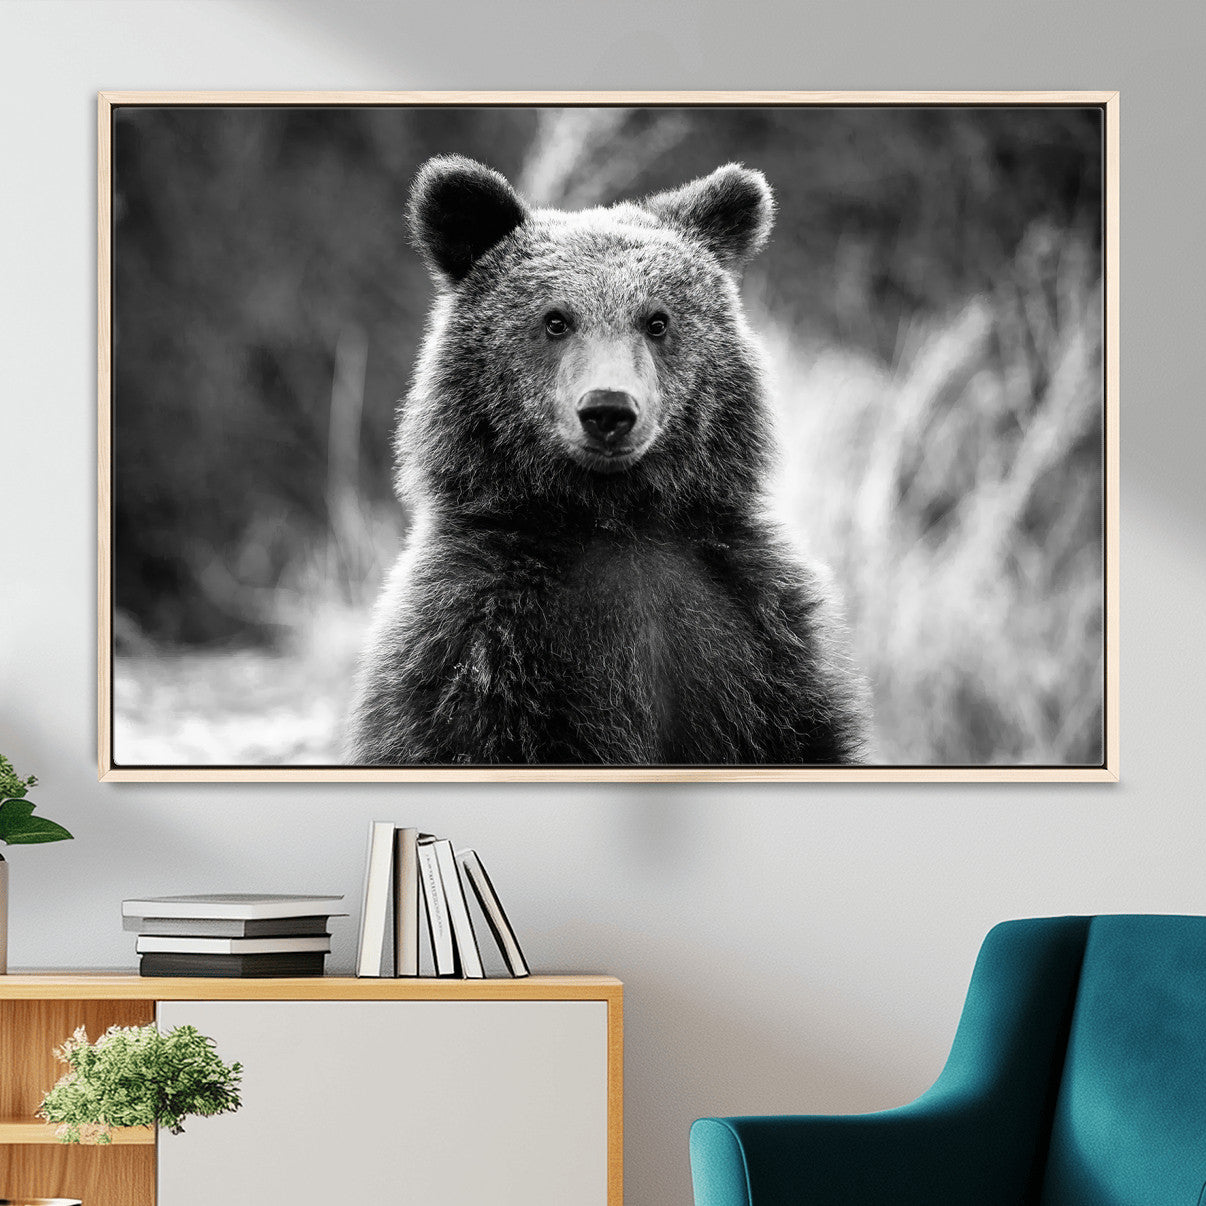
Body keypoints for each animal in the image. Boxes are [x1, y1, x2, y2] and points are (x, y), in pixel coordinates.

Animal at [345, 155, 869, 766]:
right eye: (556, 319)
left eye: (657, 320)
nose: (608, 409)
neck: (614, 518)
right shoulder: (475, 644)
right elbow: (451, 731)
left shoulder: (756, 634)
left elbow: (801, 731)